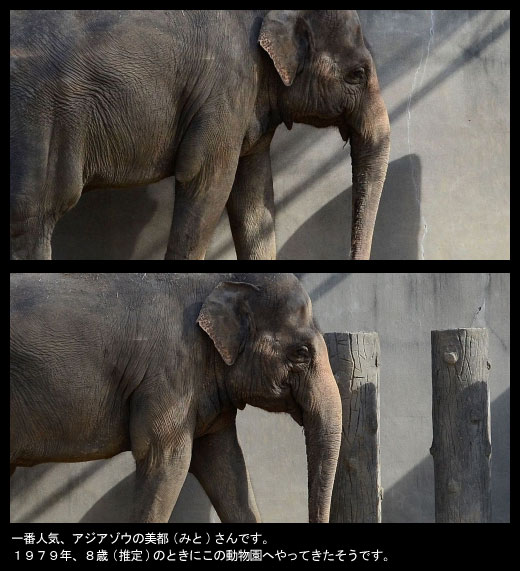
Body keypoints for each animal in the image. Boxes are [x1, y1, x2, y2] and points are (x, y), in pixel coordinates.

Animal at [10, 10, 388, 260]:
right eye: (357, 74)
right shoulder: (225, 87)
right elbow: (208, 182)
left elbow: (254, 197)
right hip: (38, 114)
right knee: (34, 215)